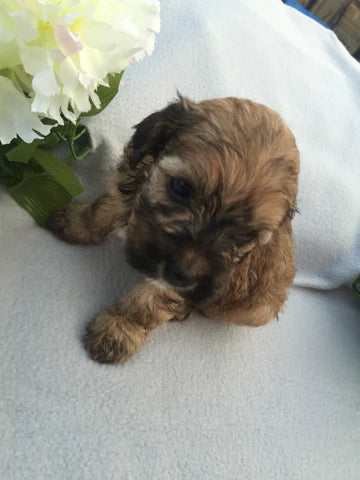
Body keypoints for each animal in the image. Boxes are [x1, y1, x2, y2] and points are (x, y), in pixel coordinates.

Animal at [48, 94, 300, 364]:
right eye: (180, 186)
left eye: (247, 235)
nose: (183, 273)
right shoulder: (130, 182)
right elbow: (103, 210)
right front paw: (76, 223)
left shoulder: (175, 283)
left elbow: (145, 303)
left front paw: (116, 331)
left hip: (258, 310)